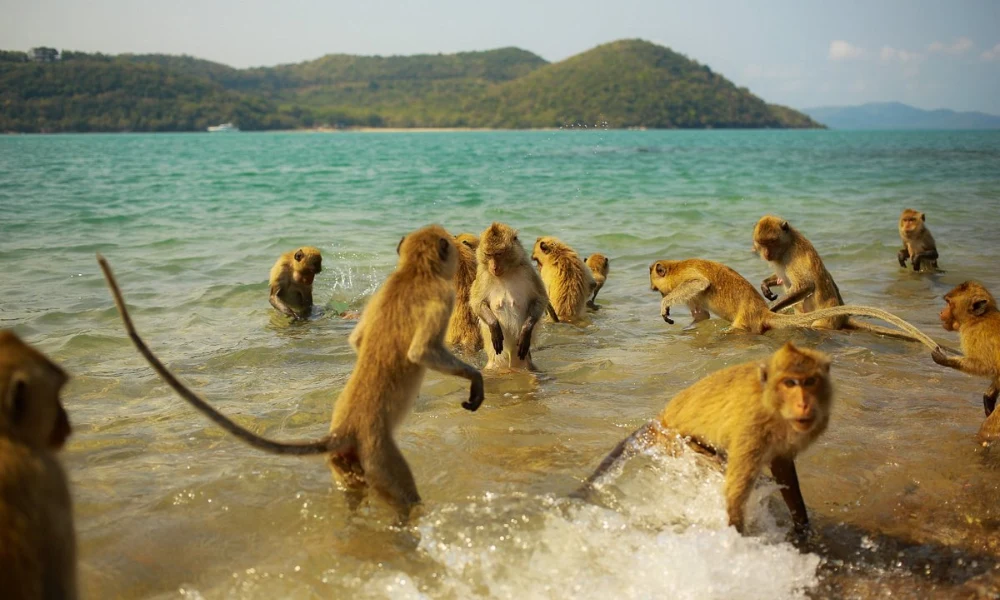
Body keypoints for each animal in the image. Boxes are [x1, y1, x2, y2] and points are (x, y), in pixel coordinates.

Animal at [97, 225, 485, 519]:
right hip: (380, 456)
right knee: (404, 498)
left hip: (346, 462)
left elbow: (358, 340)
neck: (414, 273)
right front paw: (475, 380)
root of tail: (343, 431)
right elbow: (421, 352)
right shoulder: (440, 298)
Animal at [469, 222, 549, 371]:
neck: (506, 272)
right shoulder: (483, 274)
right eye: (488, 255)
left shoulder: (527, 270)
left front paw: (525, 331)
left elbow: (540, 298)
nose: (494, 267)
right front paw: (494, 326)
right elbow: (477, 303)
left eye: (499, 254)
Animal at [578, 342, 833, 535]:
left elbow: (782, 466)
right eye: (790, 383)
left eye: (810, 382)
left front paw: (802, 527)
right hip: (674, 441)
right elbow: (736, 491)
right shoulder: (753, 426)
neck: (772, 403)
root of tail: (661, 417)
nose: (803, 403)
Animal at [649, 258, 943, 351]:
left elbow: (700, 283)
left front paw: (664, 304)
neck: (675, 267)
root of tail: (761, 312)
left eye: (654, 279)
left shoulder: (686, 277)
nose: (653, 289)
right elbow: (701, 316)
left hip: (744, 325)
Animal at [931, 281, 1000, 439]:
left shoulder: (974, 334)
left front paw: (945, 359)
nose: (941, 312)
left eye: (948, 303)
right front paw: (989, 397)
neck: (978, 319)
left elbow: (986, 366)